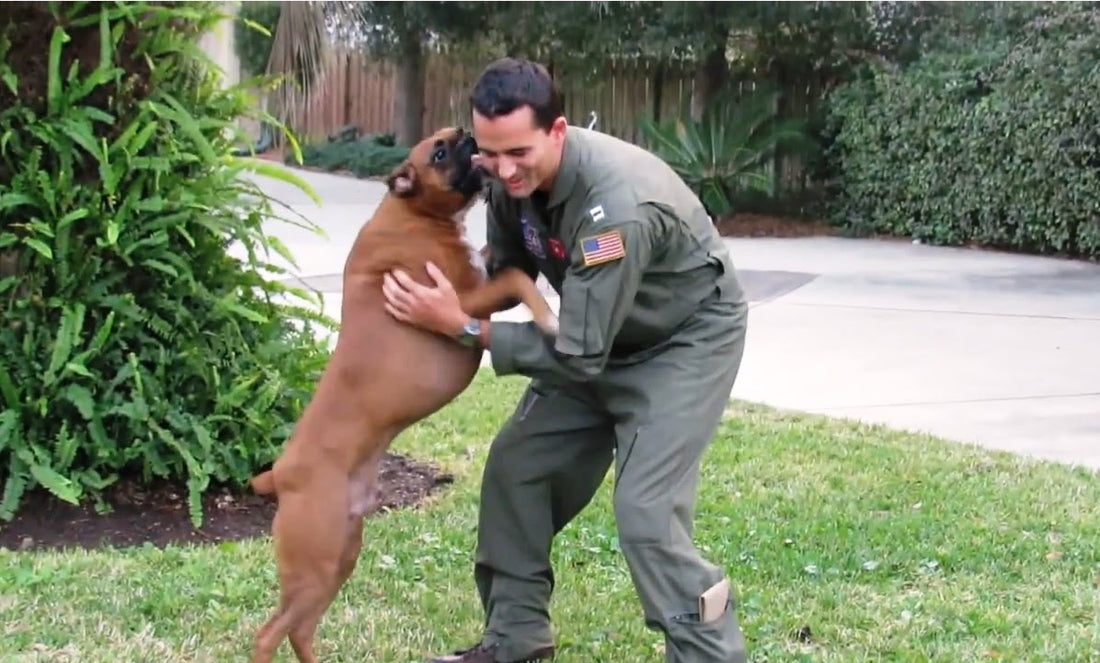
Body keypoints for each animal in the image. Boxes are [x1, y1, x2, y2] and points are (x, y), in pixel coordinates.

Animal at [250, 125, 558, 663]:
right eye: (439, 151)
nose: (468, 134)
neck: (414, 213)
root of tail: (280, 474)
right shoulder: (465, 300)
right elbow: (520, 278)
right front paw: (548, 319)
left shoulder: (477, 283)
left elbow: (511, 269)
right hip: (314, 559)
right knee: (269, 633)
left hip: (338, 558)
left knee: (299, 628)